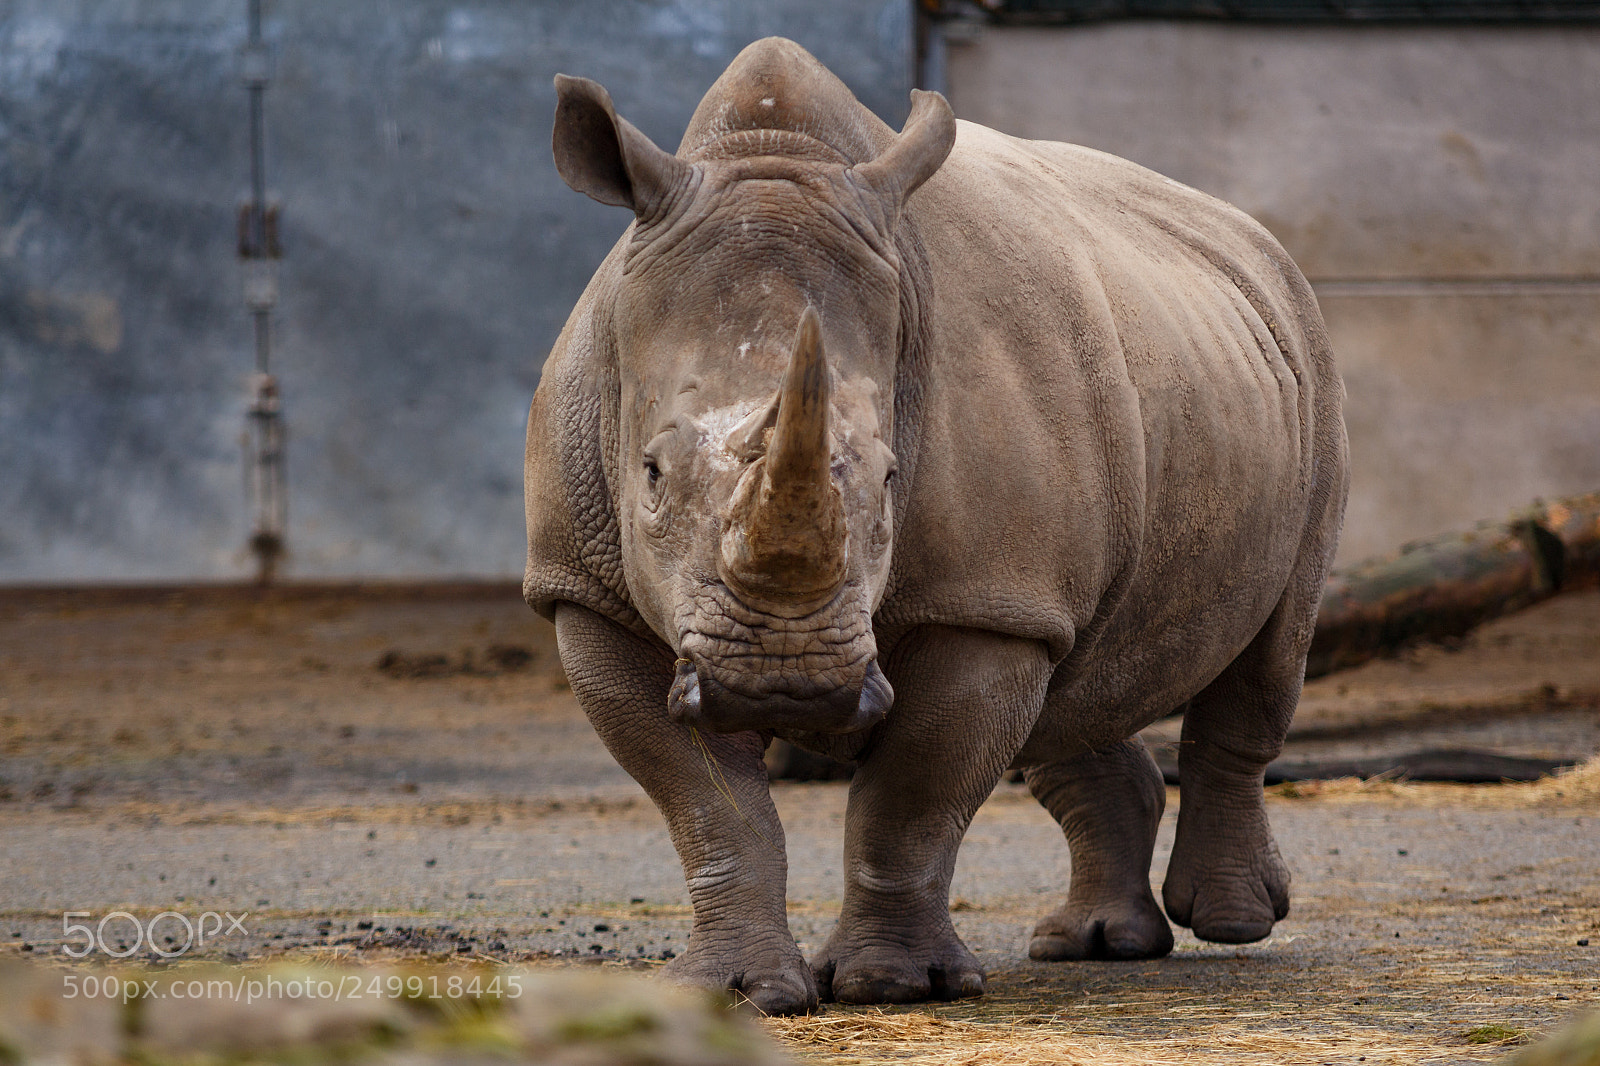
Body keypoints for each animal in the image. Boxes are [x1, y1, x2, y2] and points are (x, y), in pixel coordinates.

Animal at [524, 38, 1347, 1014]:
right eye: (650, 474)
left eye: (887, 479)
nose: (783, 682)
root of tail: (1250, 238)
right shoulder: (589, 593)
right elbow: (710, 809)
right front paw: (737, 993)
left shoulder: (983, 599)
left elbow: (912, 794)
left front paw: (891, 986)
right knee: (1078, 679)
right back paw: (1095, 945)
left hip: (1310, 365)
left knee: (1269, 647)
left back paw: (1231, 924)